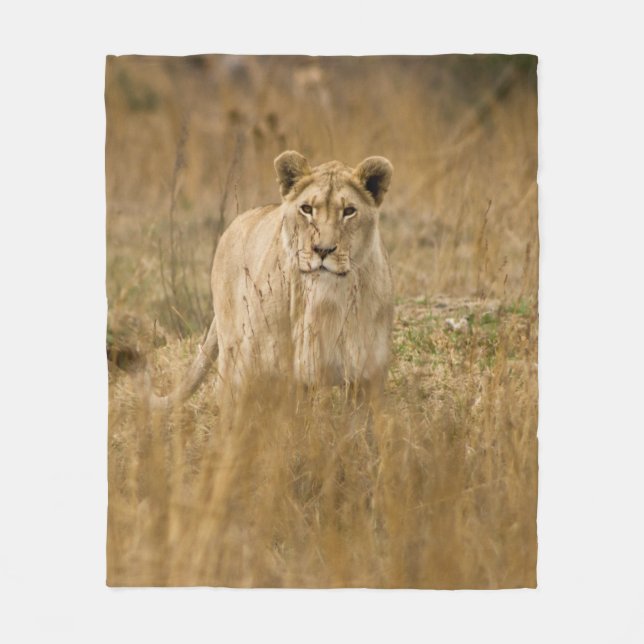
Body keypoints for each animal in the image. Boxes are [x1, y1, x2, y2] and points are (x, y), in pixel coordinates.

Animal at [150, 151, 394, 408]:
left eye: (349, 211)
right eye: (307, 209)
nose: (322, 250)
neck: (326, 301)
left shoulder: (368, 376)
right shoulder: (274, 369)